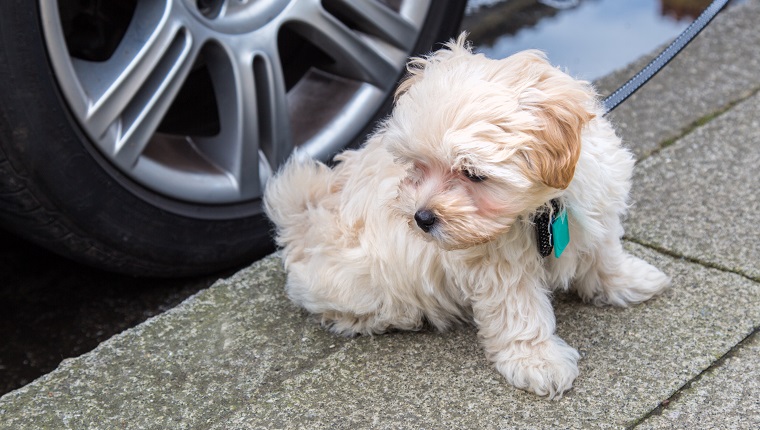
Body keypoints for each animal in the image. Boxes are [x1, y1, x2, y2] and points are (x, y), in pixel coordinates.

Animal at [264, 35, 668, 398]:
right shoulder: (498, 268)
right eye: (417, 165)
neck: (539, 209)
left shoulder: (597, 206)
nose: (422, 217)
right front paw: (538, 361)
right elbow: (519, 311)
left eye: (472, 174)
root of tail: (304, 218)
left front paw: (627, 280)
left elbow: (604, 252)